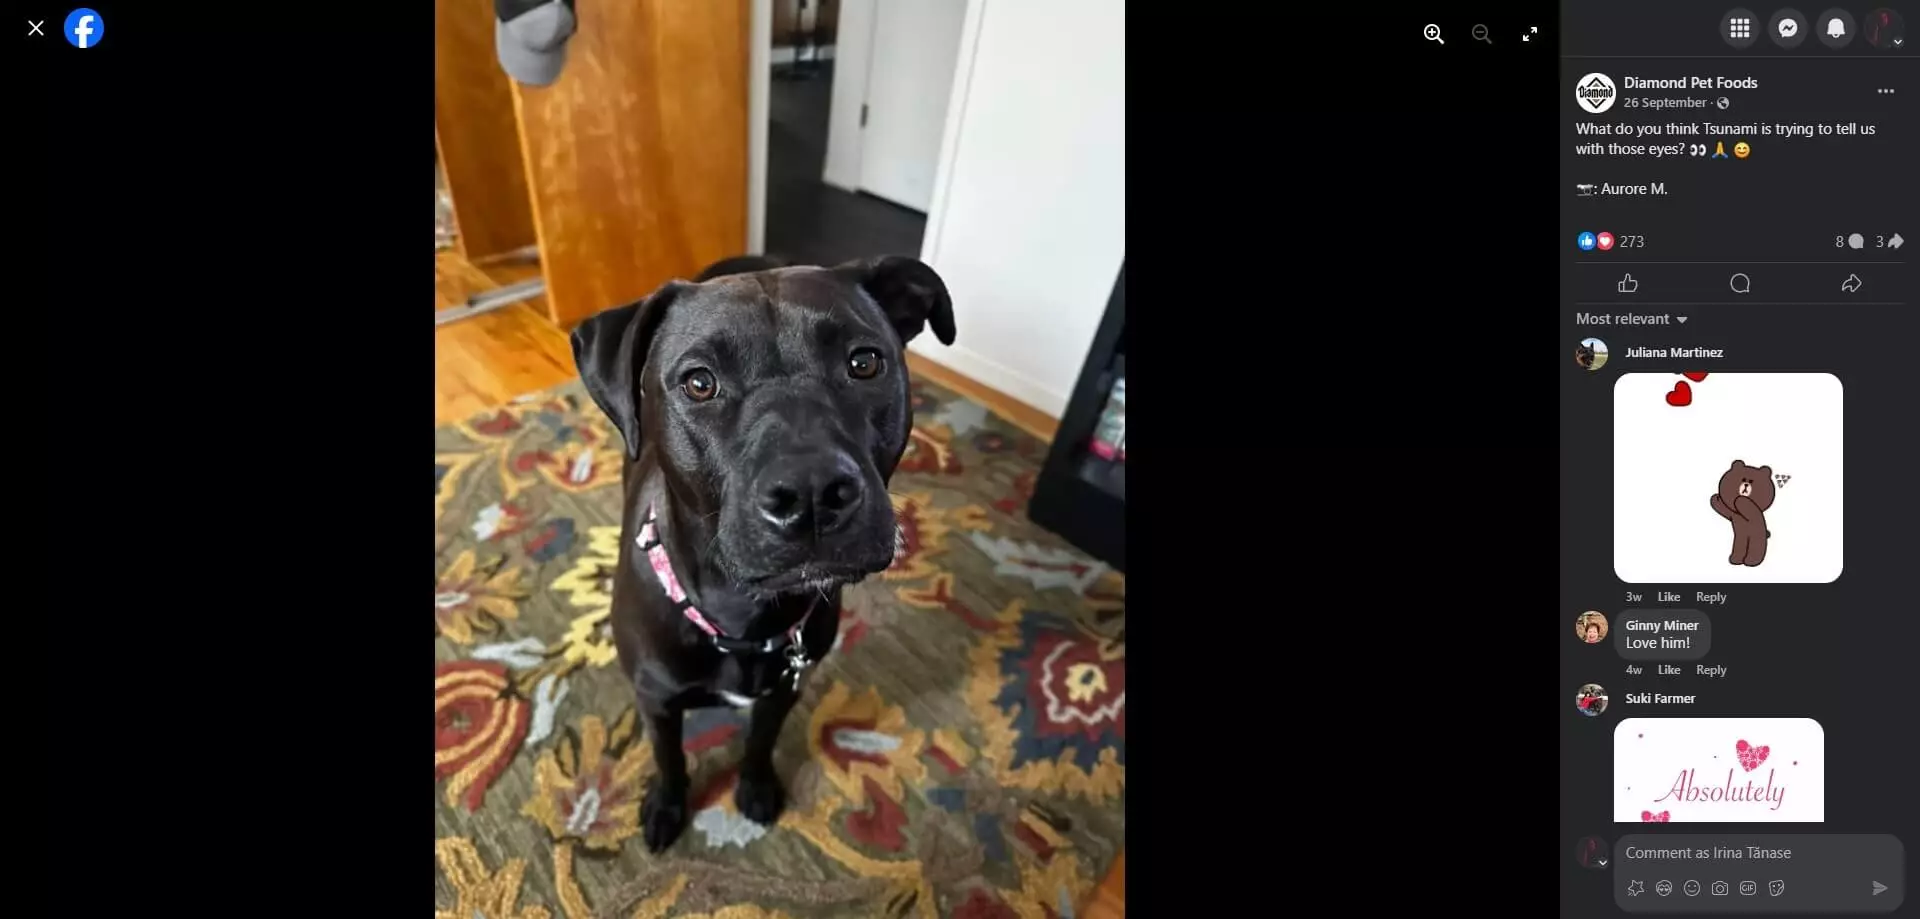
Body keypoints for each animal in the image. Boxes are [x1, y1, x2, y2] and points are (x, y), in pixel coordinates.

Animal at [568, 253, 960, 855]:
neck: (740, 619)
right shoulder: (656, 702)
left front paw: (753, 787)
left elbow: (760, 742)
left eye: (865, 362)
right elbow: (669, 757)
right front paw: (666, 806)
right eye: (699, 382)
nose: (812, 492)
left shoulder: (784, 690)